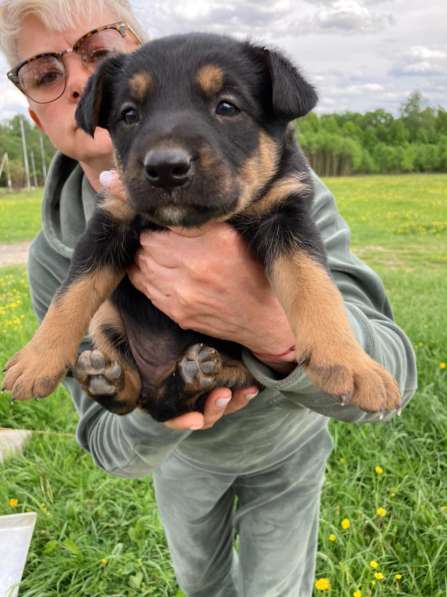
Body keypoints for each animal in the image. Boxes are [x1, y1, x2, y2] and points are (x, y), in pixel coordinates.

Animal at [2, 33, 402, 420]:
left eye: (227, 107)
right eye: (129, 115)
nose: (165, 167)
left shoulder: (286, 215)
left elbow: (316, 287)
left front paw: (352, 364)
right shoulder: (110, 221)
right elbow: (69, 295)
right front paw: (36, 360)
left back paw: (197, 372)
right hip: (106, 319)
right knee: (142, 398)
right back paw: (110, 380)